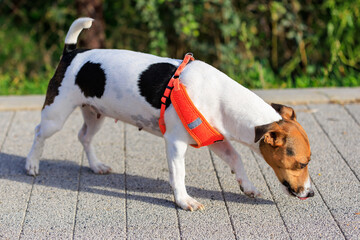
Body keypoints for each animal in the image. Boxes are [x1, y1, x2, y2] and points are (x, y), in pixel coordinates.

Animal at [27, 18, 316, 210]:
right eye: (301, 164)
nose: (312, 194)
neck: (222, 97)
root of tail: (72, 53)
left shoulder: (216, 140)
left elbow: (237, 159)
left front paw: (247, 186)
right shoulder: (176, 143)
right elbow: (179, 175)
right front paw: (184, 201)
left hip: (96, 114)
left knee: (84, 137)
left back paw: (96, 165)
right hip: (56, 115)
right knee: (39, 133)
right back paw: (31, 164)